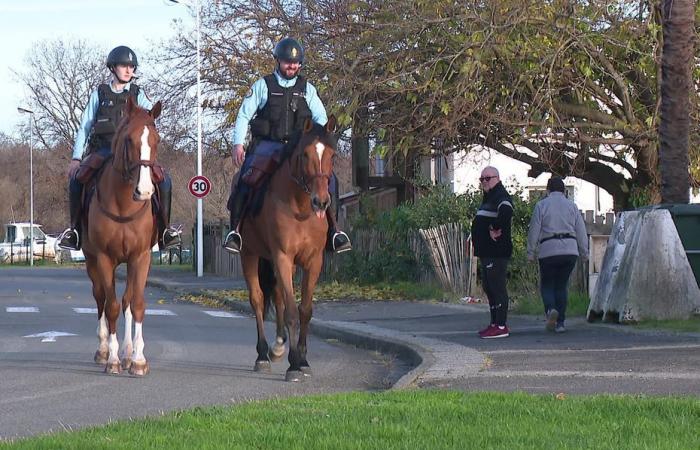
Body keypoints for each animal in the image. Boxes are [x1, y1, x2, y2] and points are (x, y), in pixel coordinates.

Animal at [83, 96, 163, 378]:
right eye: (129, 140)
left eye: (156, 140)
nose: (145, 191)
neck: (124, 203)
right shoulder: (104, 258)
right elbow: (111, 306)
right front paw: (113, 359)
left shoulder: (140, 257)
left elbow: (135, 304)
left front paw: (137, 359)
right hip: (92, 261)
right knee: (100, 298)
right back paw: (104, 350)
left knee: (127, 300)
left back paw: (128, 352)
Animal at [241, 115, 340, 380]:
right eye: (305, 155)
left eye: (332, 155)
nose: (321, 201)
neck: (301, 207)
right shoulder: (282, 257)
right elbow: (292, 313)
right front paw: (294, 365)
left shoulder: (313, 261)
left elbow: (304, 309)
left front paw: (303, 360)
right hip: (249, 254)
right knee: (258, 299)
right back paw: (262, 355)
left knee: (277, 297)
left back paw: (277, 347)